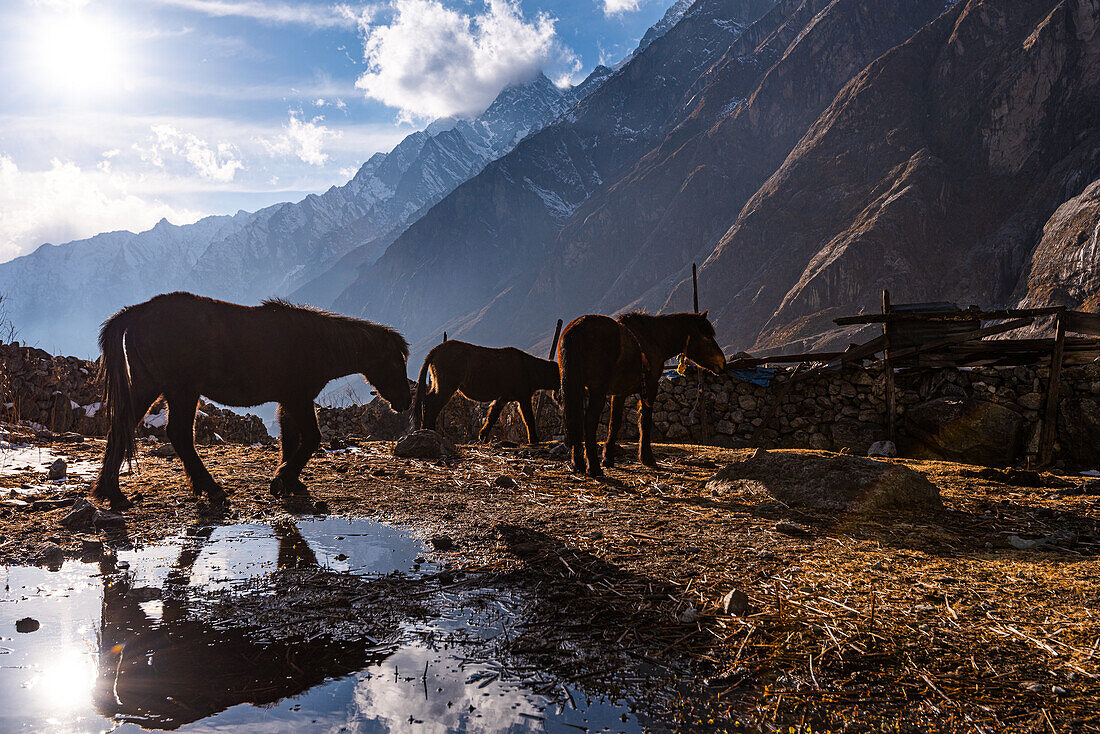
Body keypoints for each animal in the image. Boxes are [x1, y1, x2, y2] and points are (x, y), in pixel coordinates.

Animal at [92, 292, 411, 510]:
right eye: (396, 362)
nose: (406, 401)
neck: (319, 343)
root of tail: (136, 313)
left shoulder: (289, 400)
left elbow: (289, 439)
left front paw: (289, 483)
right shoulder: (299, 398)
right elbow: (310, 438)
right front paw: (283, 478)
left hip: (153, 387)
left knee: (125, 428)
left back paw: (112, 493)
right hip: (181, 391)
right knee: (178, 435)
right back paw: (211, 488)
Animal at [413, 341, 563, 442]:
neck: (534, 369)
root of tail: (437, 348)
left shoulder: (503, 398)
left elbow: (492, 416)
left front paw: (483, 435)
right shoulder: (523, 397)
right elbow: (529, 418)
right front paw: (534, 439)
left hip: (441, 384)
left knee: (428, 400)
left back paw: (426, 430)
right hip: (447, 385)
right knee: (431, 403)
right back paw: (428, 430)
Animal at [558, 312, 730, 479]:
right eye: (707, 336)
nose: (723, 363)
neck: (653, 338)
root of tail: (577, 329)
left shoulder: (619, 393)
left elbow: (615, 424)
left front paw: (608, 458)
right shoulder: (650, 387)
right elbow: (645, 421)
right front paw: (647, 458)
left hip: (577, 387)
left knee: (575, 421)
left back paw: (578, 464)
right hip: (596, 390)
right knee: (589, 422)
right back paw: (593, 467)